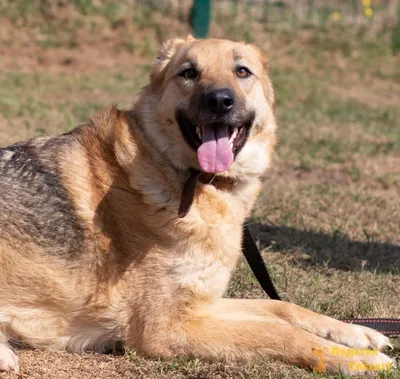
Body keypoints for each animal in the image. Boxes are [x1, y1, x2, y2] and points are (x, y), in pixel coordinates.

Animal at [0, 35, 394, 374]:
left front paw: (357, 334)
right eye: (189, 73)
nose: (219, 100)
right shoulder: (166, 328)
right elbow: (277, 331)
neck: (193, 179)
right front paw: (354, 359)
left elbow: (280, 307)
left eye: (242, 71)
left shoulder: (203, 306)